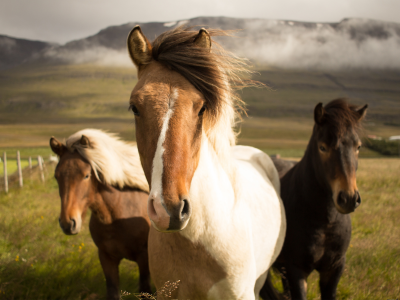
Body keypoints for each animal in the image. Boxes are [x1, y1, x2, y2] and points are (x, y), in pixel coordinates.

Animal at [48, 129, 152, 300]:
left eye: (86, 175)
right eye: (56, 176)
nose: (68, 223)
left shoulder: (144, 258)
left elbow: (146, 290)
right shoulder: (106, 257)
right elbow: (113, 291)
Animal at [260, 98, 368, 300]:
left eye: (358, 147)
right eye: (323, 147)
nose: (348, 198)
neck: (325, 221)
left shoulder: (334, 268)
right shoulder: (297, 270)